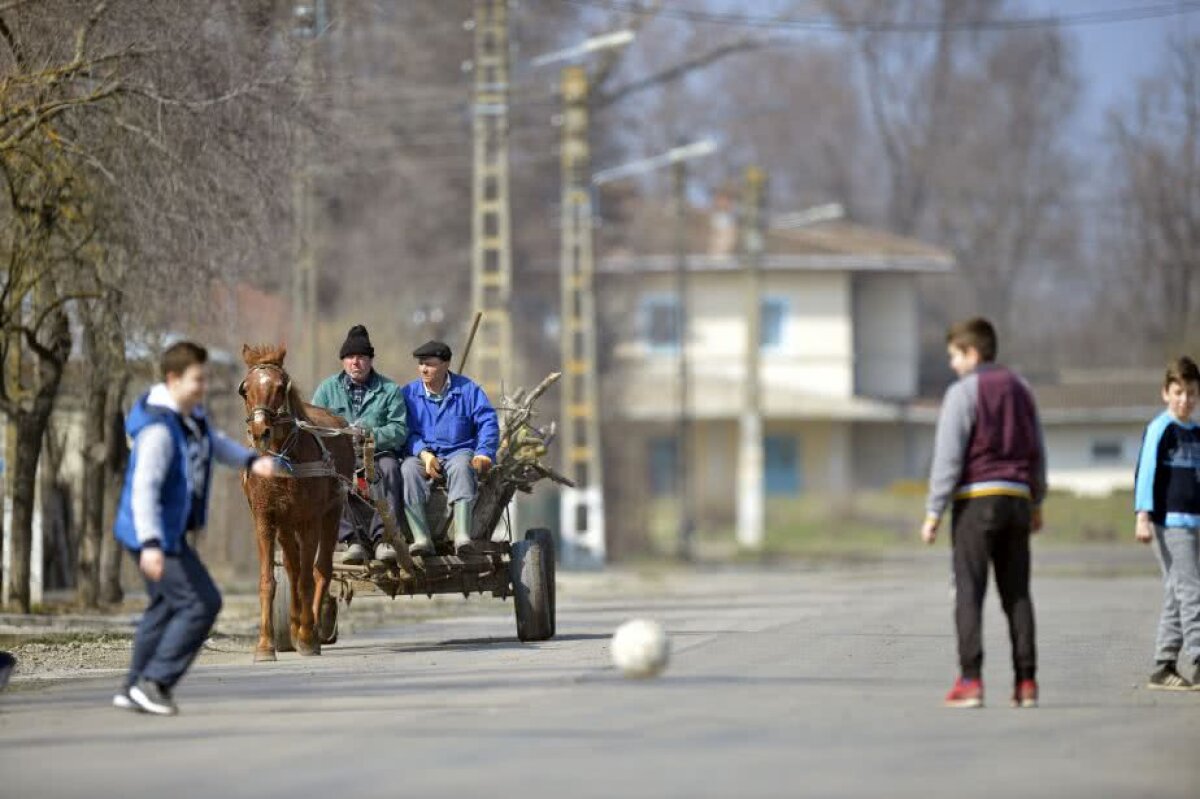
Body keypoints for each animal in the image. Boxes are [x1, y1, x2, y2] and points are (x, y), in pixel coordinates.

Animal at [238, 343, 350, 657]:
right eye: (245, 390)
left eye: (280, 387)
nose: (260, 431)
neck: (282, 459)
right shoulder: (264, 518)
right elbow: (270, 579)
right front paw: (265, 645)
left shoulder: (310, 519)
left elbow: (308, 579)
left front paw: (309, 637)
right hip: (287, 525)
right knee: (292, 565)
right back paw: (295, 623)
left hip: (331, 512)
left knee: (320, 570)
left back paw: (310, 628)